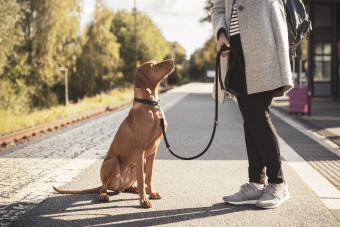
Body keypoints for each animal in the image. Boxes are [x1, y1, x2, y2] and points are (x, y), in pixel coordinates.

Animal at [54, 59, 175, 208]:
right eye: (152, 66)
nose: (172, 60)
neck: (151, 107)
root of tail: (118, 186)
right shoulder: (140, 150)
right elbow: (142, 179)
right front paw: (144, 201)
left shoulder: (153, 152)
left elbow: (149, 176)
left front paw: (151, 194)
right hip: (112, 161)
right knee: (103, 187)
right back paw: (105, 195)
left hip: (137, 164)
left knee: (128, 187)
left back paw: (136, 190)